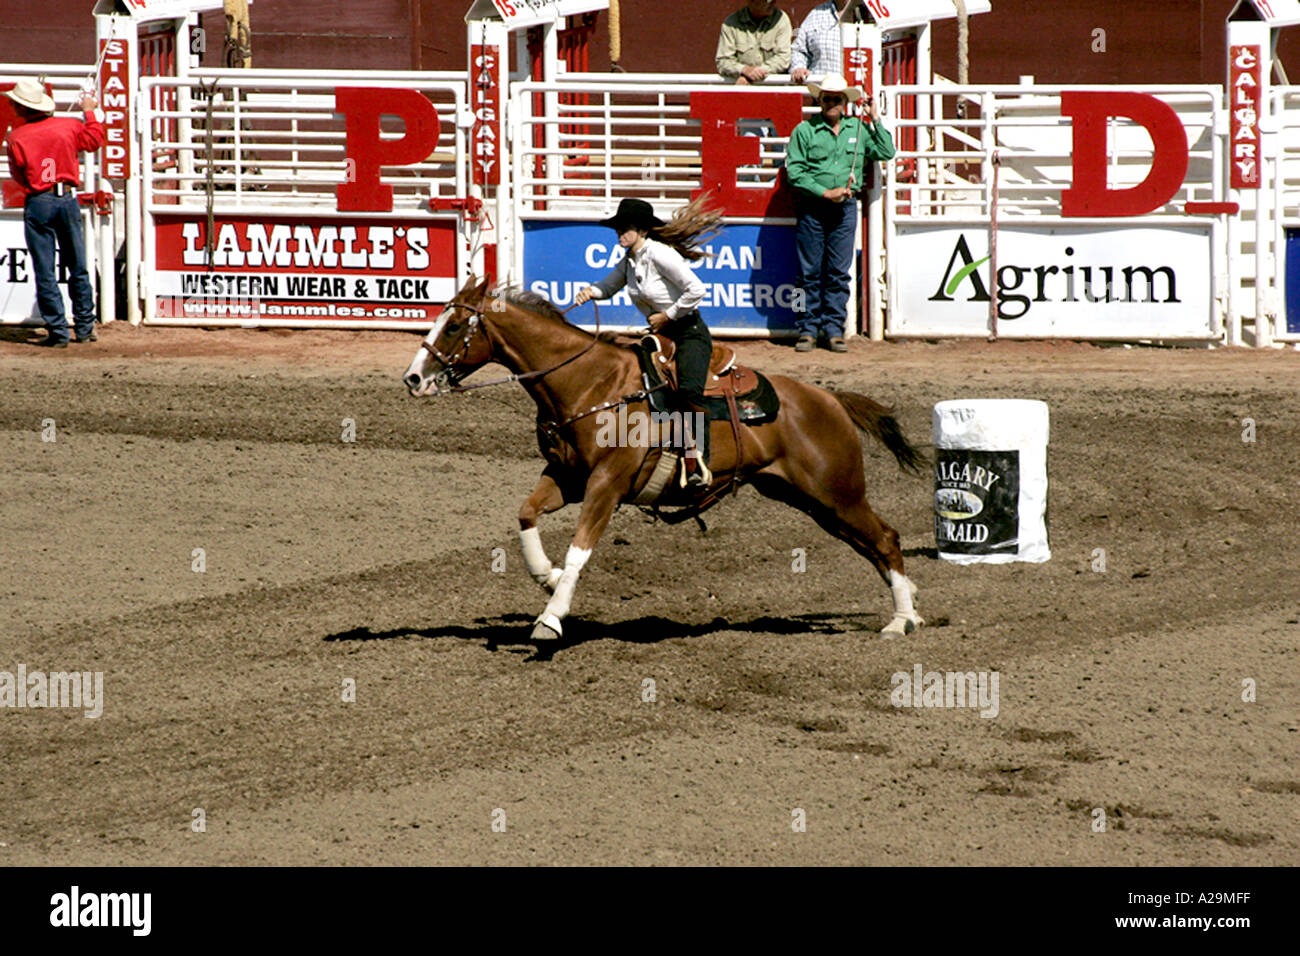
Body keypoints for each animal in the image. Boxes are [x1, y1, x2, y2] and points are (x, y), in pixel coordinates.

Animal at [403, 280, 925, 647]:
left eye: (454, 326)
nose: (413, 379)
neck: (591, 384)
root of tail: (831, 399)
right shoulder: (567, 478)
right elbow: (526, 514)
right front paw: (546, 578)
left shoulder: (607, 484)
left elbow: (578, 550)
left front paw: (551, 617)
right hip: (809, 499)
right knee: (873, 545)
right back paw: (913, 609)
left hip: (836, 492)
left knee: (885, 539)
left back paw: (900, 621)